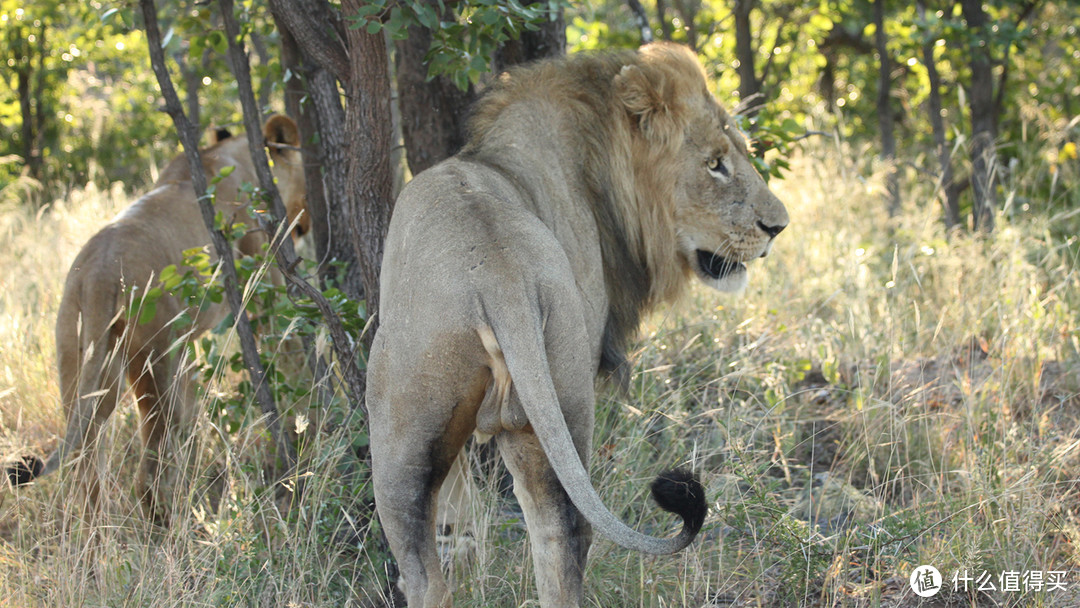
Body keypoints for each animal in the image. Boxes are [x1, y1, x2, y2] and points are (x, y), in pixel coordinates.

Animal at [8, 115, 311, 522]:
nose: (307, 224)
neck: (229, 154)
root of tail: (100, 272)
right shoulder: (260, 262)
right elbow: (283, 333)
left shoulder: (185, 342)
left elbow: (192, 393)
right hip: (152, 362)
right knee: (147, 470)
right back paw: (173, 523)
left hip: (84, 364)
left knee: (85, 462)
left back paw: (98, 531)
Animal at [367, 44, 790, 608]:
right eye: (716, 164)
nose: (778, 227)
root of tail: (500, 274)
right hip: (559, 392)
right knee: (563, 536)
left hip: (397, 426)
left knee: (424, 572)